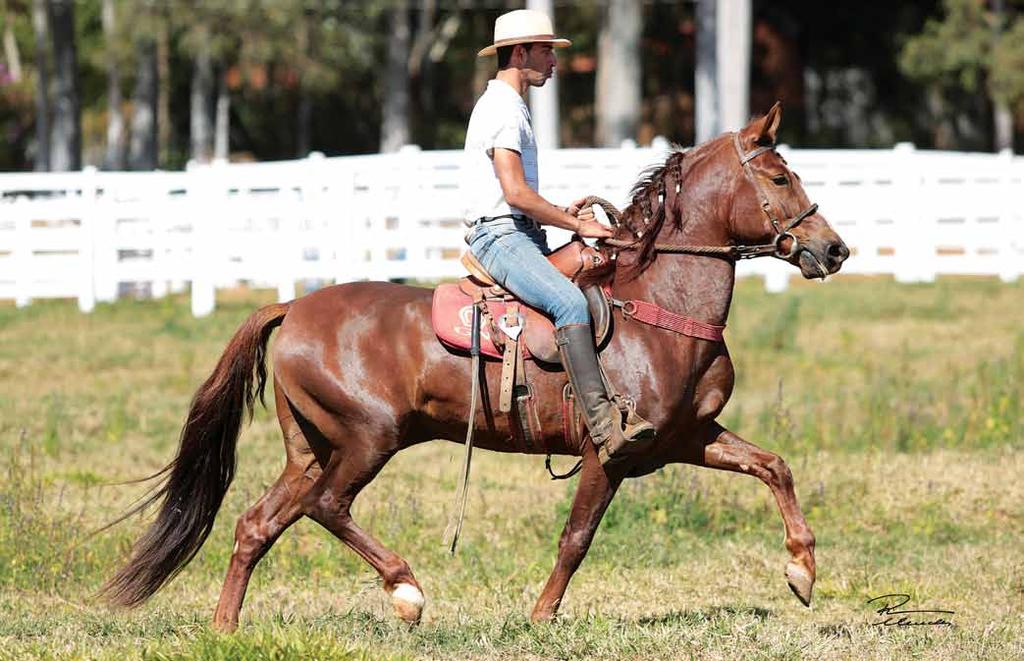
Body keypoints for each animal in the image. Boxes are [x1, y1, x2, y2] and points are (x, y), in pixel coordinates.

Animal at [103, 104, 847, 630]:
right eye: (779, 177)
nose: (833, 248)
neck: (656, 307)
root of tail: (291, 306)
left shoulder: (686, 437)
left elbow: (774, 466)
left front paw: (802, 569)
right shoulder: (610, 455)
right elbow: (577, 537)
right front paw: (541, 615)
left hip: (311, 447)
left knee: (258, 522)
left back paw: (225, 626)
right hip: (367, 439)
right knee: (326, 506)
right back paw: (406, 590)